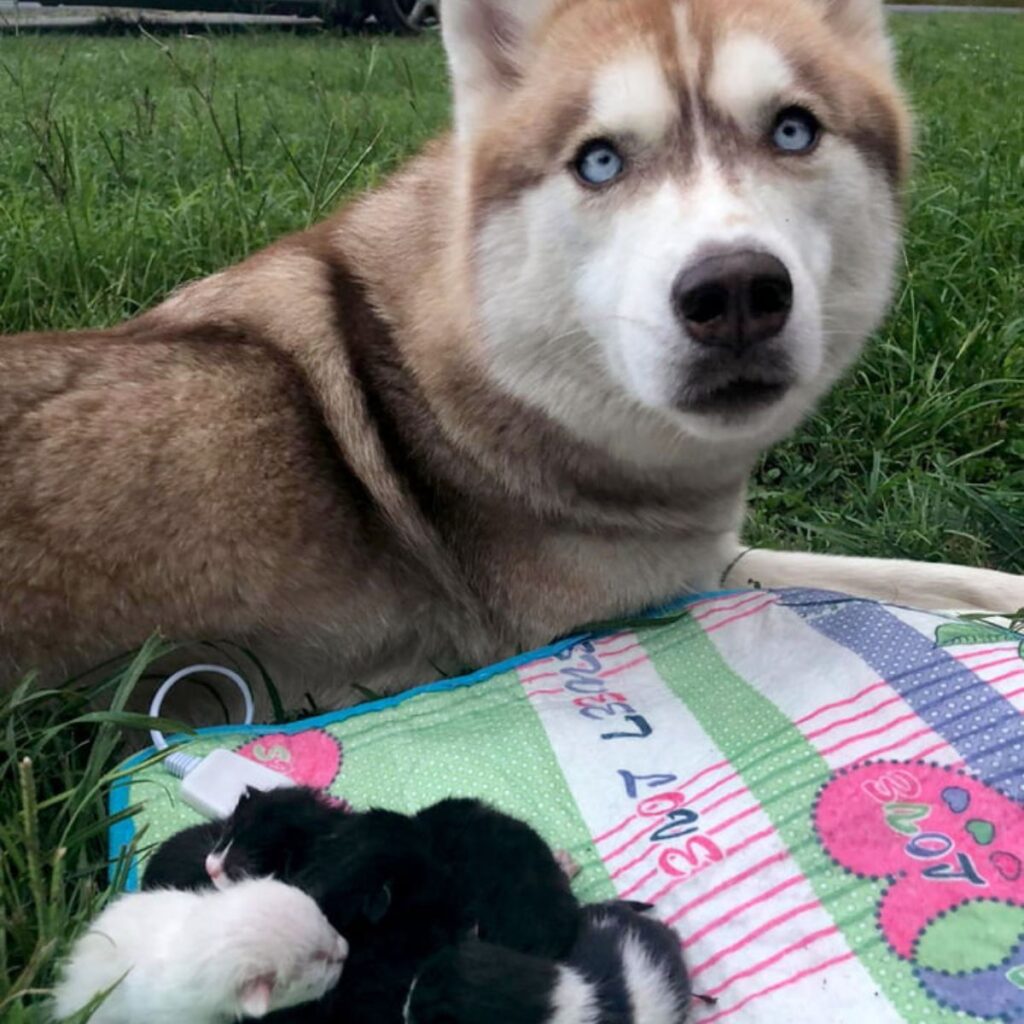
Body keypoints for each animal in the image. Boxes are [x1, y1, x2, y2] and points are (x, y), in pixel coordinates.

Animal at [2, 0, 1024, 704]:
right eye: (600, 160)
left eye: (793, 129)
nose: (734, 293)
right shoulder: (626, 605)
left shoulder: (703, 559)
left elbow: (900, 571)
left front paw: (997, 592)